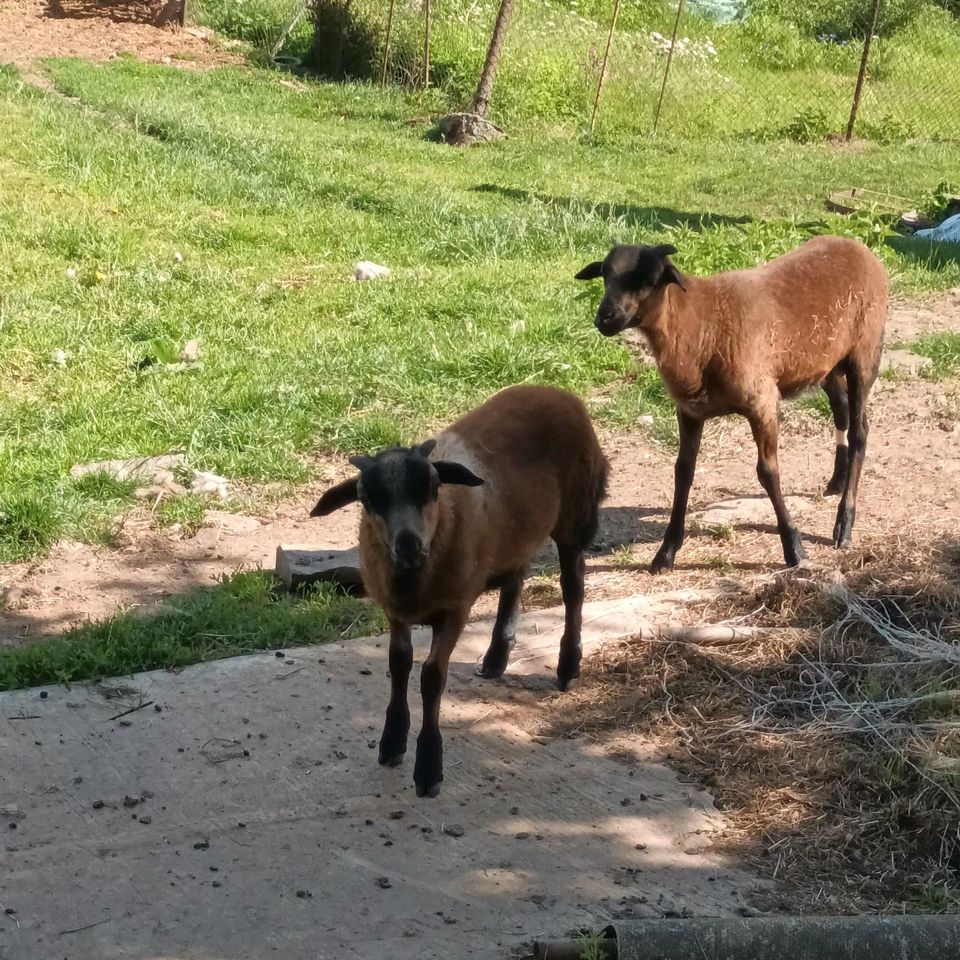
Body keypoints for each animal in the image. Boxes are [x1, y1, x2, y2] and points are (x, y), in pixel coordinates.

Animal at [312, 382, 608, 796]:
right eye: (366, 498)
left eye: (433, 487)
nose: (409, 546)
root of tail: (554, 390)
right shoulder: (395, 611)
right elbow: (399, 664)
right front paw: (392, 742)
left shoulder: (455, 610)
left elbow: (432, 677)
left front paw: (428, 768)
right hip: (516, 531)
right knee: (516, 575)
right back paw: (496, 658)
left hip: (574, 517)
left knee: (573, 587)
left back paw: (568, 665)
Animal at [576, 234, 884, 568]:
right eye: (605, 275)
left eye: (649, 279)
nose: (604, 318)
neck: (700, 324)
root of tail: (856, 245)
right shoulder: (689, 412)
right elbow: (683, 472)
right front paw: (666, 552)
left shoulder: (762, 402)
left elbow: (768, 472)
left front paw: (794, 548)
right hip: (826, 364)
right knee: (842, 412)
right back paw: (837, 482)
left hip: (864, 354)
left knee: (859, 432)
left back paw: (844, 525)